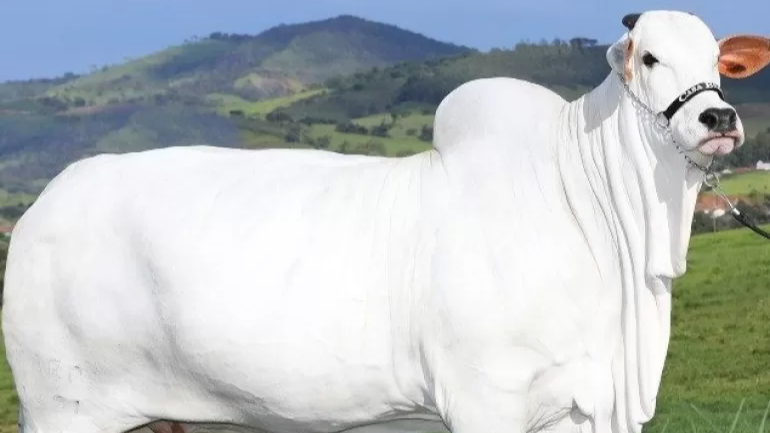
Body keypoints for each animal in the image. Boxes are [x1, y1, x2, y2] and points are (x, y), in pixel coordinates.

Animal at [3, 10, 770, 433]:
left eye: (718, 62)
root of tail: (45, 205)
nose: (719, 118)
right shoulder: (486, 399)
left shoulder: (578, 408)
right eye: (650, 57)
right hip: (63, 409)